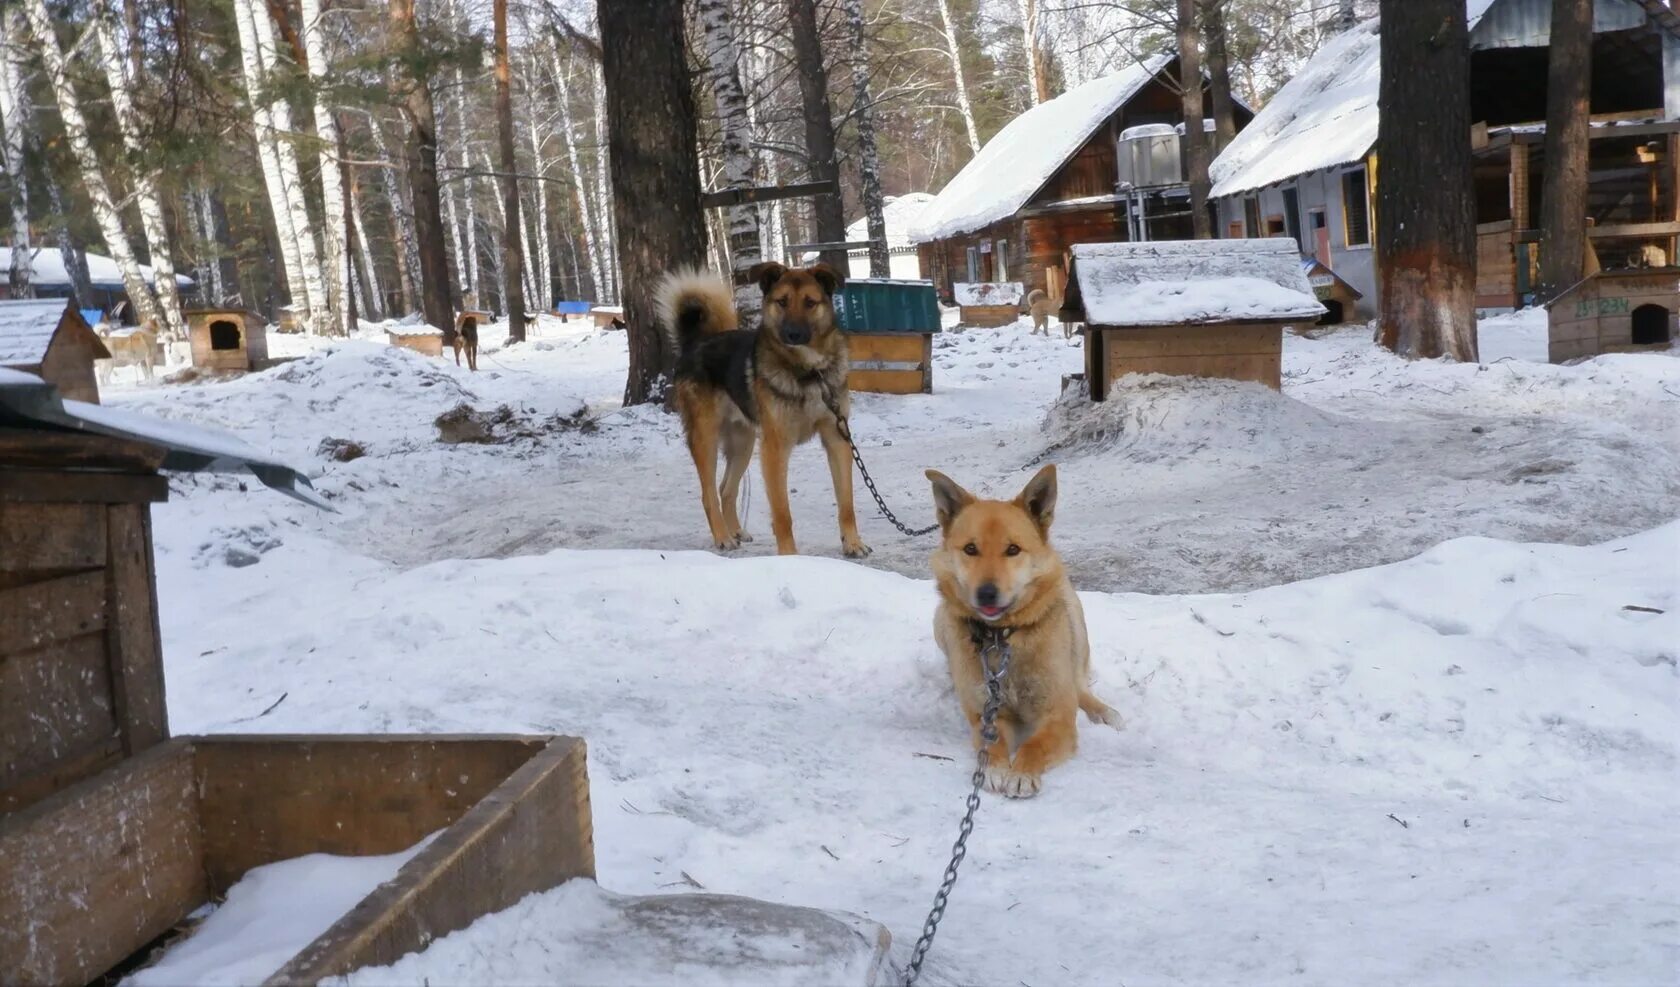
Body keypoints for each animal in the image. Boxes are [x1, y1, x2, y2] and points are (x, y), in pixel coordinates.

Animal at [651, 260, 866, 553]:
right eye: (782, 301)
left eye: (810, 303)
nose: (793, 334)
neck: (810, 372)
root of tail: (695, 343)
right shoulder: (774, 448)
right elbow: (782, 513)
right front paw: (790, 556)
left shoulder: (837, 438)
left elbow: (847, 503)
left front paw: (853, 543)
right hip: (706, 439)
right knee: (708, 494)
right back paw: (723, 536)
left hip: (743, 443)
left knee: (726, 489)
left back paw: (736, 530)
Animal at [927, 466, 1122, 799]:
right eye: (970, 549)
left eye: (1013, 550)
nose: (986, 593)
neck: (1002, 637)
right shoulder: (984, 714)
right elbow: (992, 743)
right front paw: (995, 768)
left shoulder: (1059, 717)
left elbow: (1035, 744)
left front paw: (1021, 773)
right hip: (940, 621)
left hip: (1073, 614)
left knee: (1079, 684)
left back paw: (1103, 711)